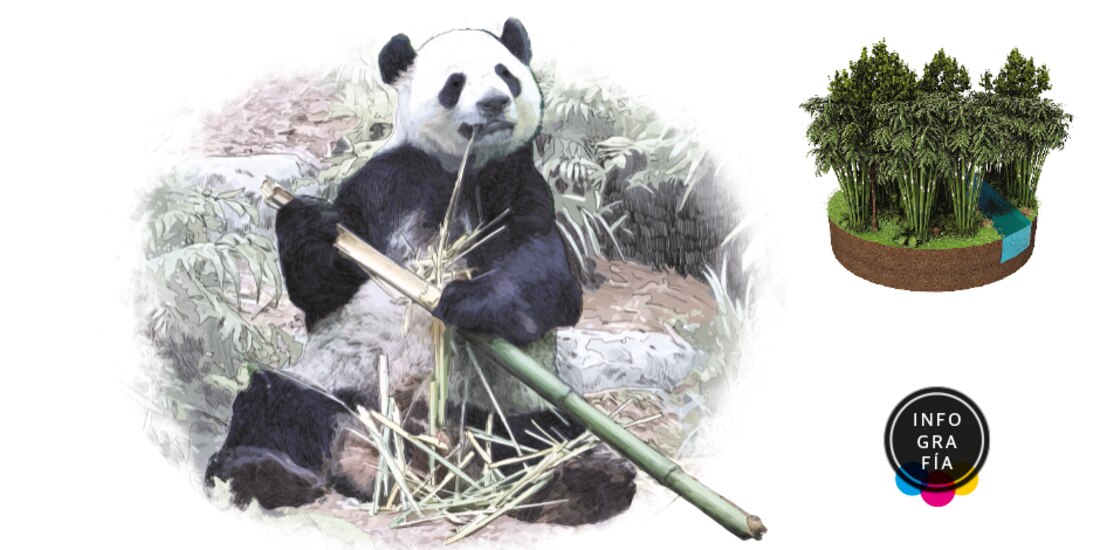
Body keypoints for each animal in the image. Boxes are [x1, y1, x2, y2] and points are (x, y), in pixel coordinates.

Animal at [205, 18, 637, 526]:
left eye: (506, 74)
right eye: (456, 83)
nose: (495, 102)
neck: (459, 167)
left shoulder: (517, 181)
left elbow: (549, 276)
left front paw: (467, 301)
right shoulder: (386, 181)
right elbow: (322, 290)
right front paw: (308, 222)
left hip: (505, 407)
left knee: (545, 435)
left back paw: (584, 483)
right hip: (345, 387)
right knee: (276, 403)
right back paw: (262, 472)